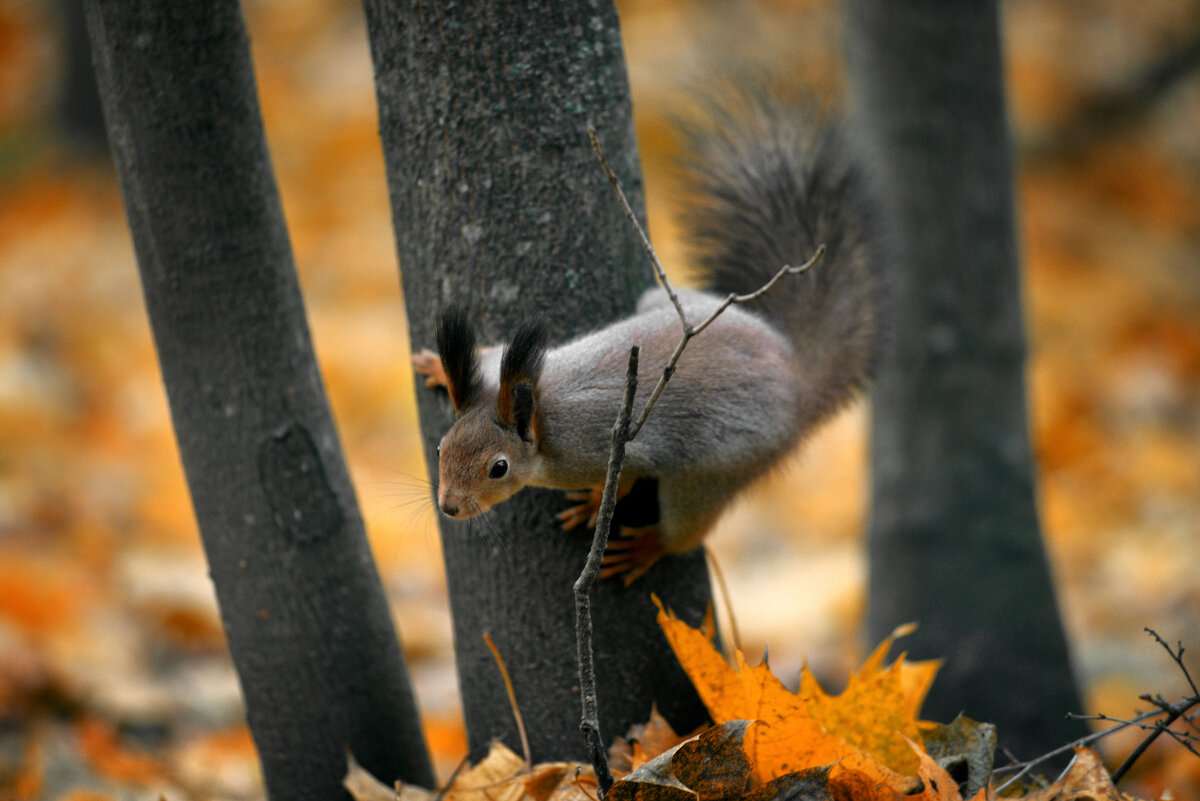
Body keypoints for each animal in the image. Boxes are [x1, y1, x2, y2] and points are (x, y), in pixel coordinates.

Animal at [412, 92, 883, 582]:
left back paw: (648, 546)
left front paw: (593, 505)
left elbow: (626, 482)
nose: (449, 507)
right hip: (661, 301)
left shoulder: (600, 451)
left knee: (687, 525)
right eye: (442, 446)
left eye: (498, 468)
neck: (541, 414)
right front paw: (436, 367)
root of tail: (795, 374)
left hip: (716, 470)